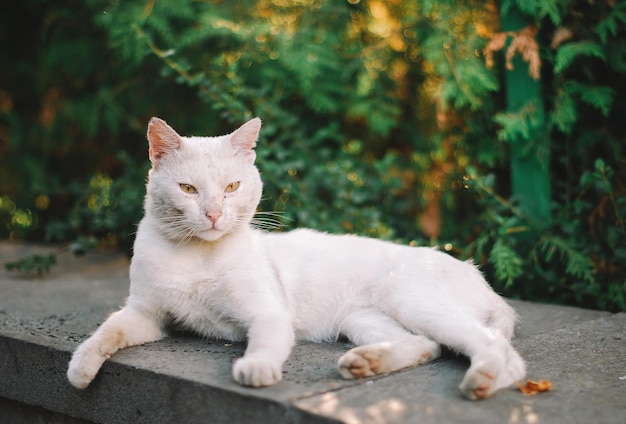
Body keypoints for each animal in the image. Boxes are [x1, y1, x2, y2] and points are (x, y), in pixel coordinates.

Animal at [66, 117, 524, 400]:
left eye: (231, 187)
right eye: (189, 189)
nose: (213, 214)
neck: (197, 256)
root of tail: (481, 278)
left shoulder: (266, 312)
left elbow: (265, 343)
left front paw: (256, 369)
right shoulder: (145, 314)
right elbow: (105, 332)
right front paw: (80, 367)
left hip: (414, 300)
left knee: (503, 354)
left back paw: (481, 382)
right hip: (362, 320)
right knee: (427, 345)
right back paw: (366, 363)